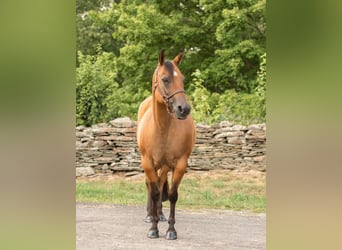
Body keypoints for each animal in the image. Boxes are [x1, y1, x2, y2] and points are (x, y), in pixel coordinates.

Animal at [136, 49, 195, 239]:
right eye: (165, 79)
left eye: (182, 78)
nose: (183, 109)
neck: (162, 129)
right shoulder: (147, 162)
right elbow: (155, 193)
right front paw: (153, 228)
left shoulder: (179, 164)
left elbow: (172, 194)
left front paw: (170, 230)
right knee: (150, 185)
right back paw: (150, 215)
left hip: (164, 166)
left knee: (161, 182)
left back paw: (160, 214)